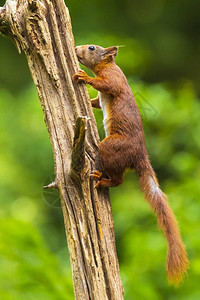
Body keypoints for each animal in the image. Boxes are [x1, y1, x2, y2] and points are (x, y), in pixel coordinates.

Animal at [72, 44, 188, 286]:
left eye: (91, 48)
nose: (77, 48)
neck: (108, 66)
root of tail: (140, 156)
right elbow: (96, 102)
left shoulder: (114, 80)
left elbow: (106, 85)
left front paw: (84, 76)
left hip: (111, 148)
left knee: (119, 180)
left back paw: (102, 179)